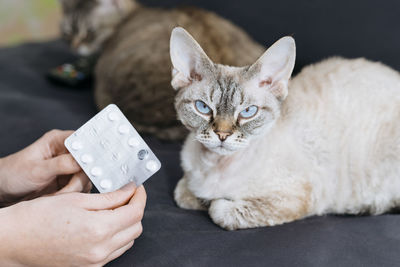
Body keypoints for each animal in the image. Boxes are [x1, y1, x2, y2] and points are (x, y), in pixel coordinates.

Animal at [169, 27, 400, 232]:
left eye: (248, 112)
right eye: (203, 108)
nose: (222, 135)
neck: (214, 166)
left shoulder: (301, 196)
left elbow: (220, 210)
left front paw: (214, 202)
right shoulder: (187, 183)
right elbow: (183, 194)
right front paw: (202, 199)